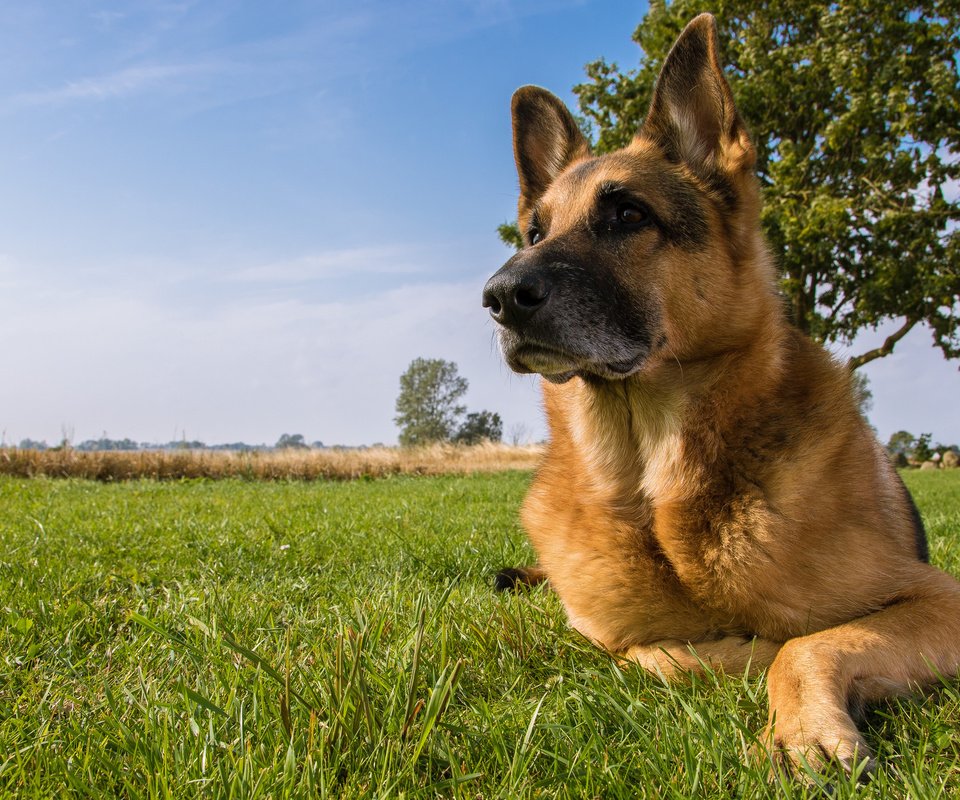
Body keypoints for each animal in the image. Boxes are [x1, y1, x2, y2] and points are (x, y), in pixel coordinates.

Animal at [484, 10, 960, 776]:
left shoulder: (939, 597)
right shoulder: (609, 637)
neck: (653, 489)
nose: (497, 297)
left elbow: (809, 642)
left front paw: (803, 727)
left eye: (627, 215)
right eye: (534, 231)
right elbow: (658, 653)